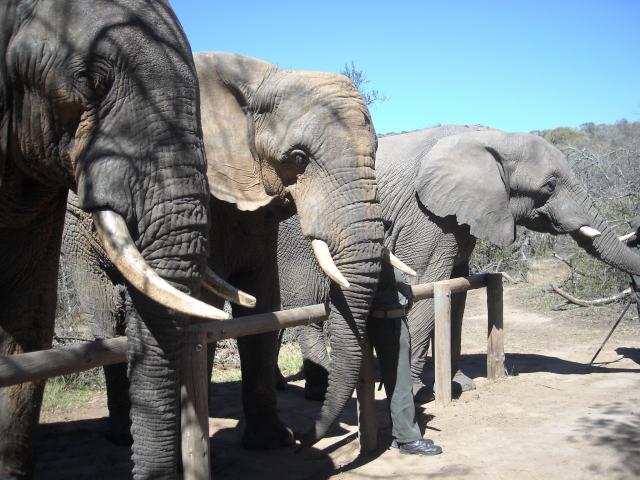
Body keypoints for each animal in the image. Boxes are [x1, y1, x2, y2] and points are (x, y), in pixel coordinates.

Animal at [61, 51, 386, 451]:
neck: (260, 77)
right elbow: (205, 305)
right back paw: (123, 435)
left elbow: (264, 303)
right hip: (78, 234)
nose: (305, 436)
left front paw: (271, 441)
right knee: (106, 311)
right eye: (298, 158)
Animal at [278, 124, 640, 401]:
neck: (492, 137)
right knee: (307, 304)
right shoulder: (425, 217)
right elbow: (423, 286)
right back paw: (325, 393)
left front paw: (460, 385)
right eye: (549, 187)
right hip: (297, 237)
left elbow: (458, 292)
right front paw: (416, 392)